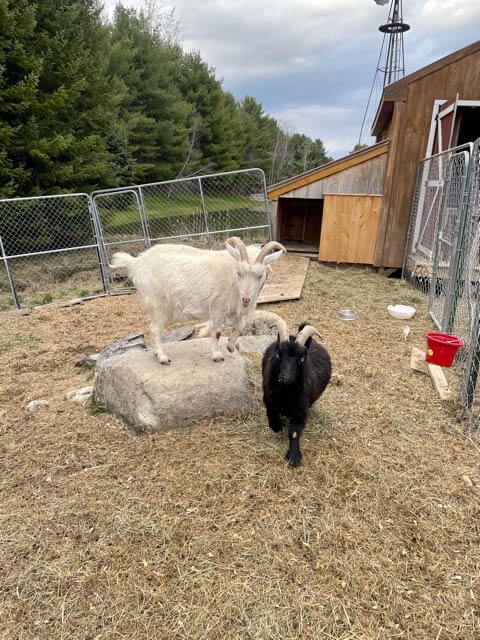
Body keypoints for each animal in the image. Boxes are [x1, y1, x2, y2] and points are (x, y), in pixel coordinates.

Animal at [110, 236, 286, 364]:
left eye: (260, 275)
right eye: (239, 272)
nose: (247, 299)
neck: (232, 280)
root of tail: (137, 262)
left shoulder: (237, 309)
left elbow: (241, 326)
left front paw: (230, 346)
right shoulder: (217, 307)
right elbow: (217, 331)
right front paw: (217, 355)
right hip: (157, 303)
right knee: (154, 329)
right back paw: (162, 357)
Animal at [262, 324, 330, 464]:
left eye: (302, 358)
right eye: (278, 354)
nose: (285, 378)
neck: (285, 396)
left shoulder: (300, 411)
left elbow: (294, 432)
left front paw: (294, 456)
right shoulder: (269, 402)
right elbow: (274, 422)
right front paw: (279, 425)